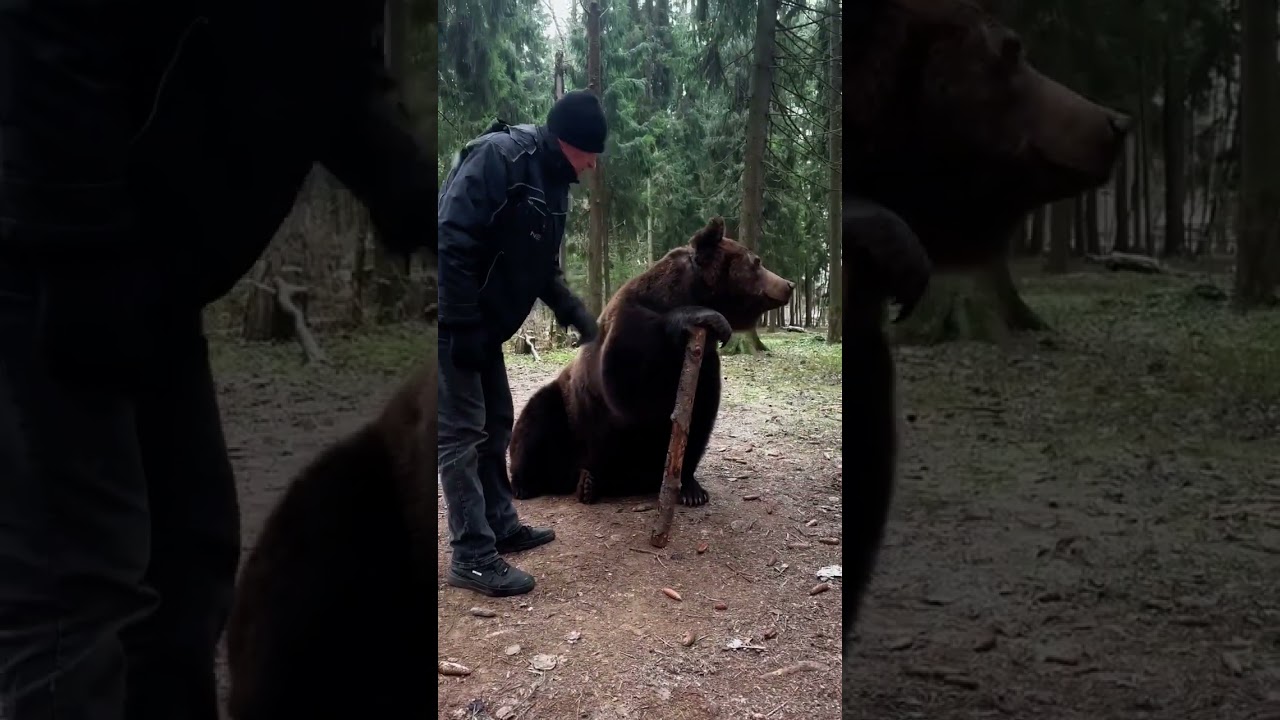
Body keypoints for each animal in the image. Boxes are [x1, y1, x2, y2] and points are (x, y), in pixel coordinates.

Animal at [507, 216, 795, 508]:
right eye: (757, 261)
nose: (788, 284)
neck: (685, 292)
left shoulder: (705, 366)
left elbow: (699, 418)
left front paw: (692, 489)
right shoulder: (629, 328)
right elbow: (625, 377)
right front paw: (704, 317)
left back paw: (592, 483)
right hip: (571, 416)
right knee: (536, 421)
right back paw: (528, 484)